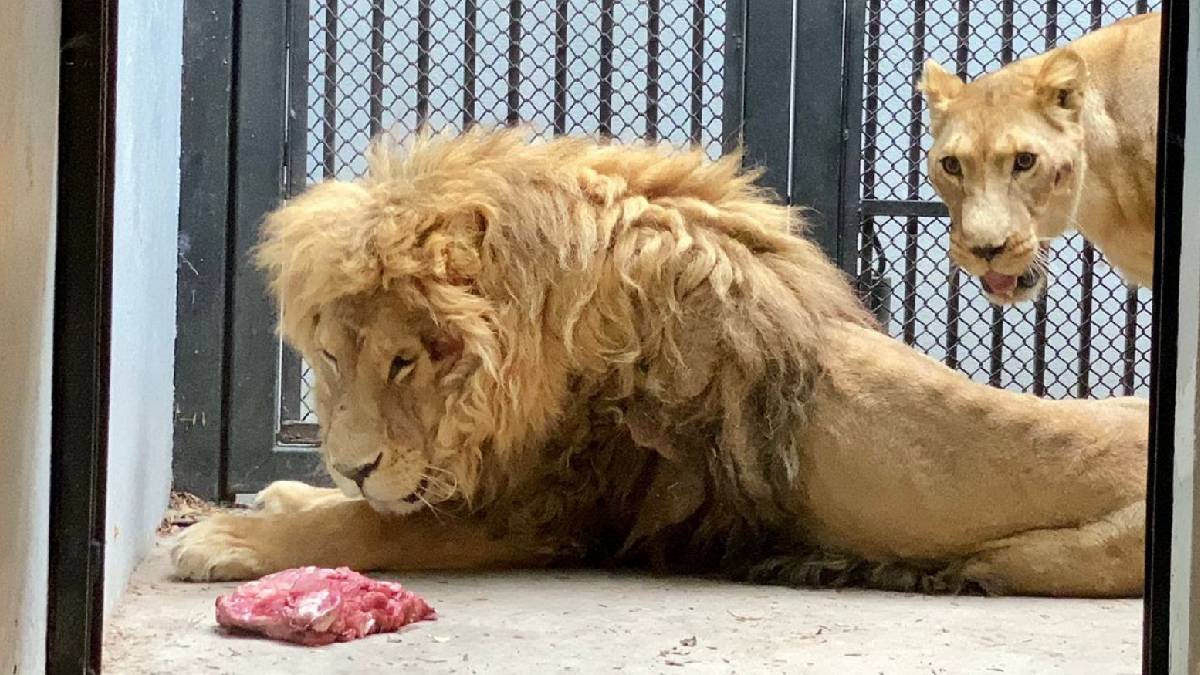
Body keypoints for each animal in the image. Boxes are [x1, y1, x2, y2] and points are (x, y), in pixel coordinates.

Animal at [172, 129, 1148, 597]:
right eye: (335, 357)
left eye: (408, 361)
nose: (352, 461)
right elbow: (358, 506)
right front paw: (286, 492)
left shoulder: (545, 510)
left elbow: (367, 526)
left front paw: (231, 536)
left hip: (1049, 550)